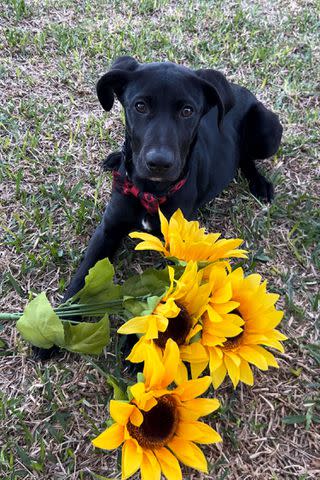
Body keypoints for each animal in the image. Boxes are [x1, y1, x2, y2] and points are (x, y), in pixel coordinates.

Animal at [35, 55, 282, 356]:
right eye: (140, 106)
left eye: (187, 111)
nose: (159, 163)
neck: (150, 192)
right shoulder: (107, 230)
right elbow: (82, 276)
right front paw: (57, 326)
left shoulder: (177, 244)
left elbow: (170, 286)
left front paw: (143, 342)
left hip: (268, 130)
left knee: (246, 156)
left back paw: (260, 182)